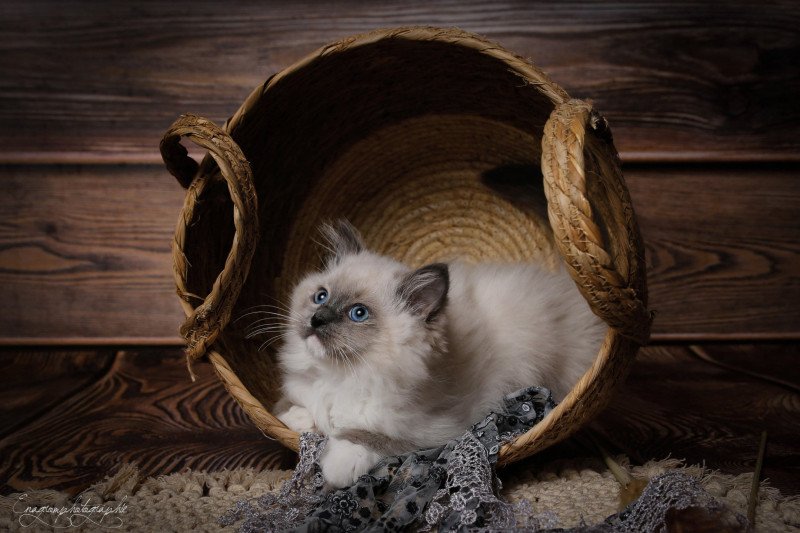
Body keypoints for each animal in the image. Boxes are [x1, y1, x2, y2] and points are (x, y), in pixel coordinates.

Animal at [272, 219, 604, 486]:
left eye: (358, 313)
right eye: (321, 297)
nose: (318, 319)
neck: (344, 374)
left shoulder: (440, 431)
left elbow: (369, 436)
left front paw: (337, 466)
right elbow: (289, 407)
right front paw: (300, 419)